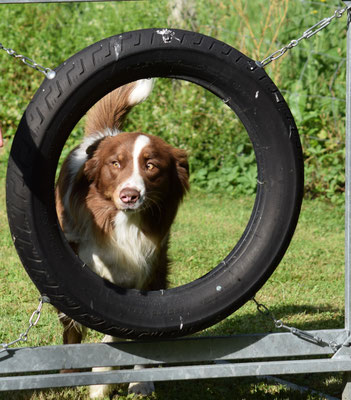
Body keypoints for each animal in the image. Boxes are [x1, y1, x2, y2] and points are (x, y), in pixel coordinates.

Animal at [55, 79, 190, 398]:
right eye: (115, 164)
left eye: (151, 165)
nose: (130, 195)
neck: (124, 226)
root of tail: (105, 134)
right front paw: (96, 385)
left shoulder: (148, 271)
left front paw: (129, 383)